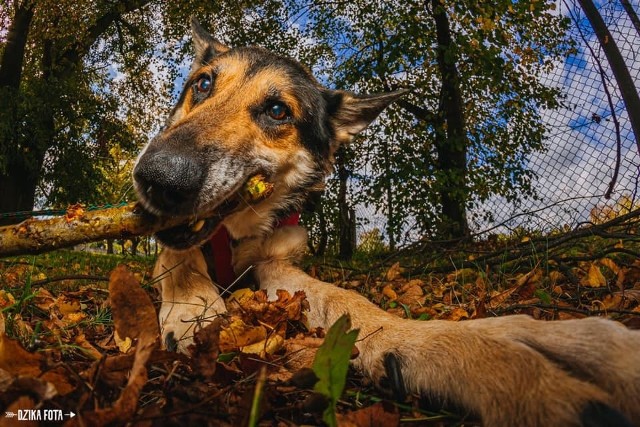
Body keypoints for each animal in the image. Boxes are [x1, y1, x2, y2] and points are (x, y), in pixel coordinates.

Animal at [134, 18, 640, 426]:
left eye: (278, 111)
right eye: (202, 85)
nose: (157, 177)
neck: (237, 231)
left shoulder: (278, 265)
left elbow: (351, 303)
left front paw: (452, 349)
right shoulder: (173, 244)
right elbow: (179, 258)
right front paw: (194, 307)